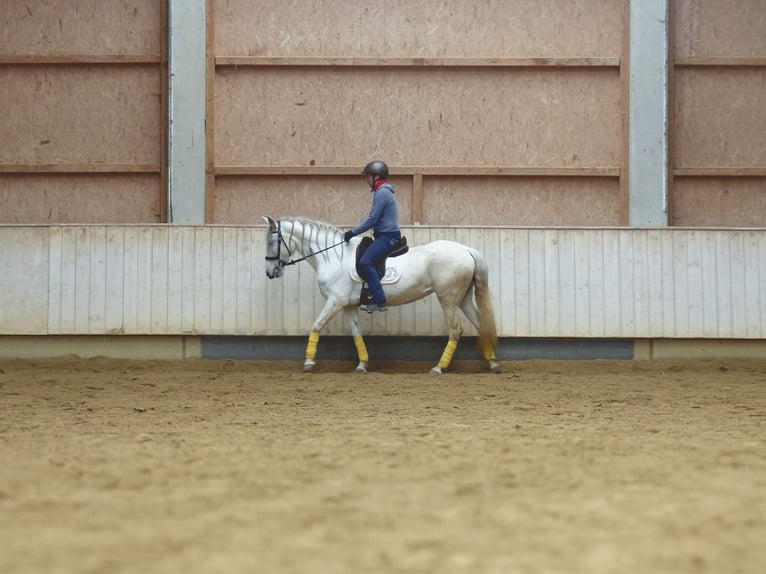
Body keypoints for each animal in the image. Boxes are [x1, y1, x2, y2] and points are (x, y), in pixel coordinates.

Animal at [263, 216, 501, 375]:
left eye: (272, 242)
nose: (270, 272)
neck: (333, 256)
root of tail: (466, 250)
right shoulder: (348, 305)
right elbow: (356, 333)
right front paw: (362, 365)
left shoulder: (335, 301)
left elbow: (316, 326)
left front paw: (309, 363)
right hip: (463, 298)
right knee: (480, 325)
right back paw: (493, 363)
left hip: (448, 299)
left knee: (456, 330)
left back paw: (439, 367)